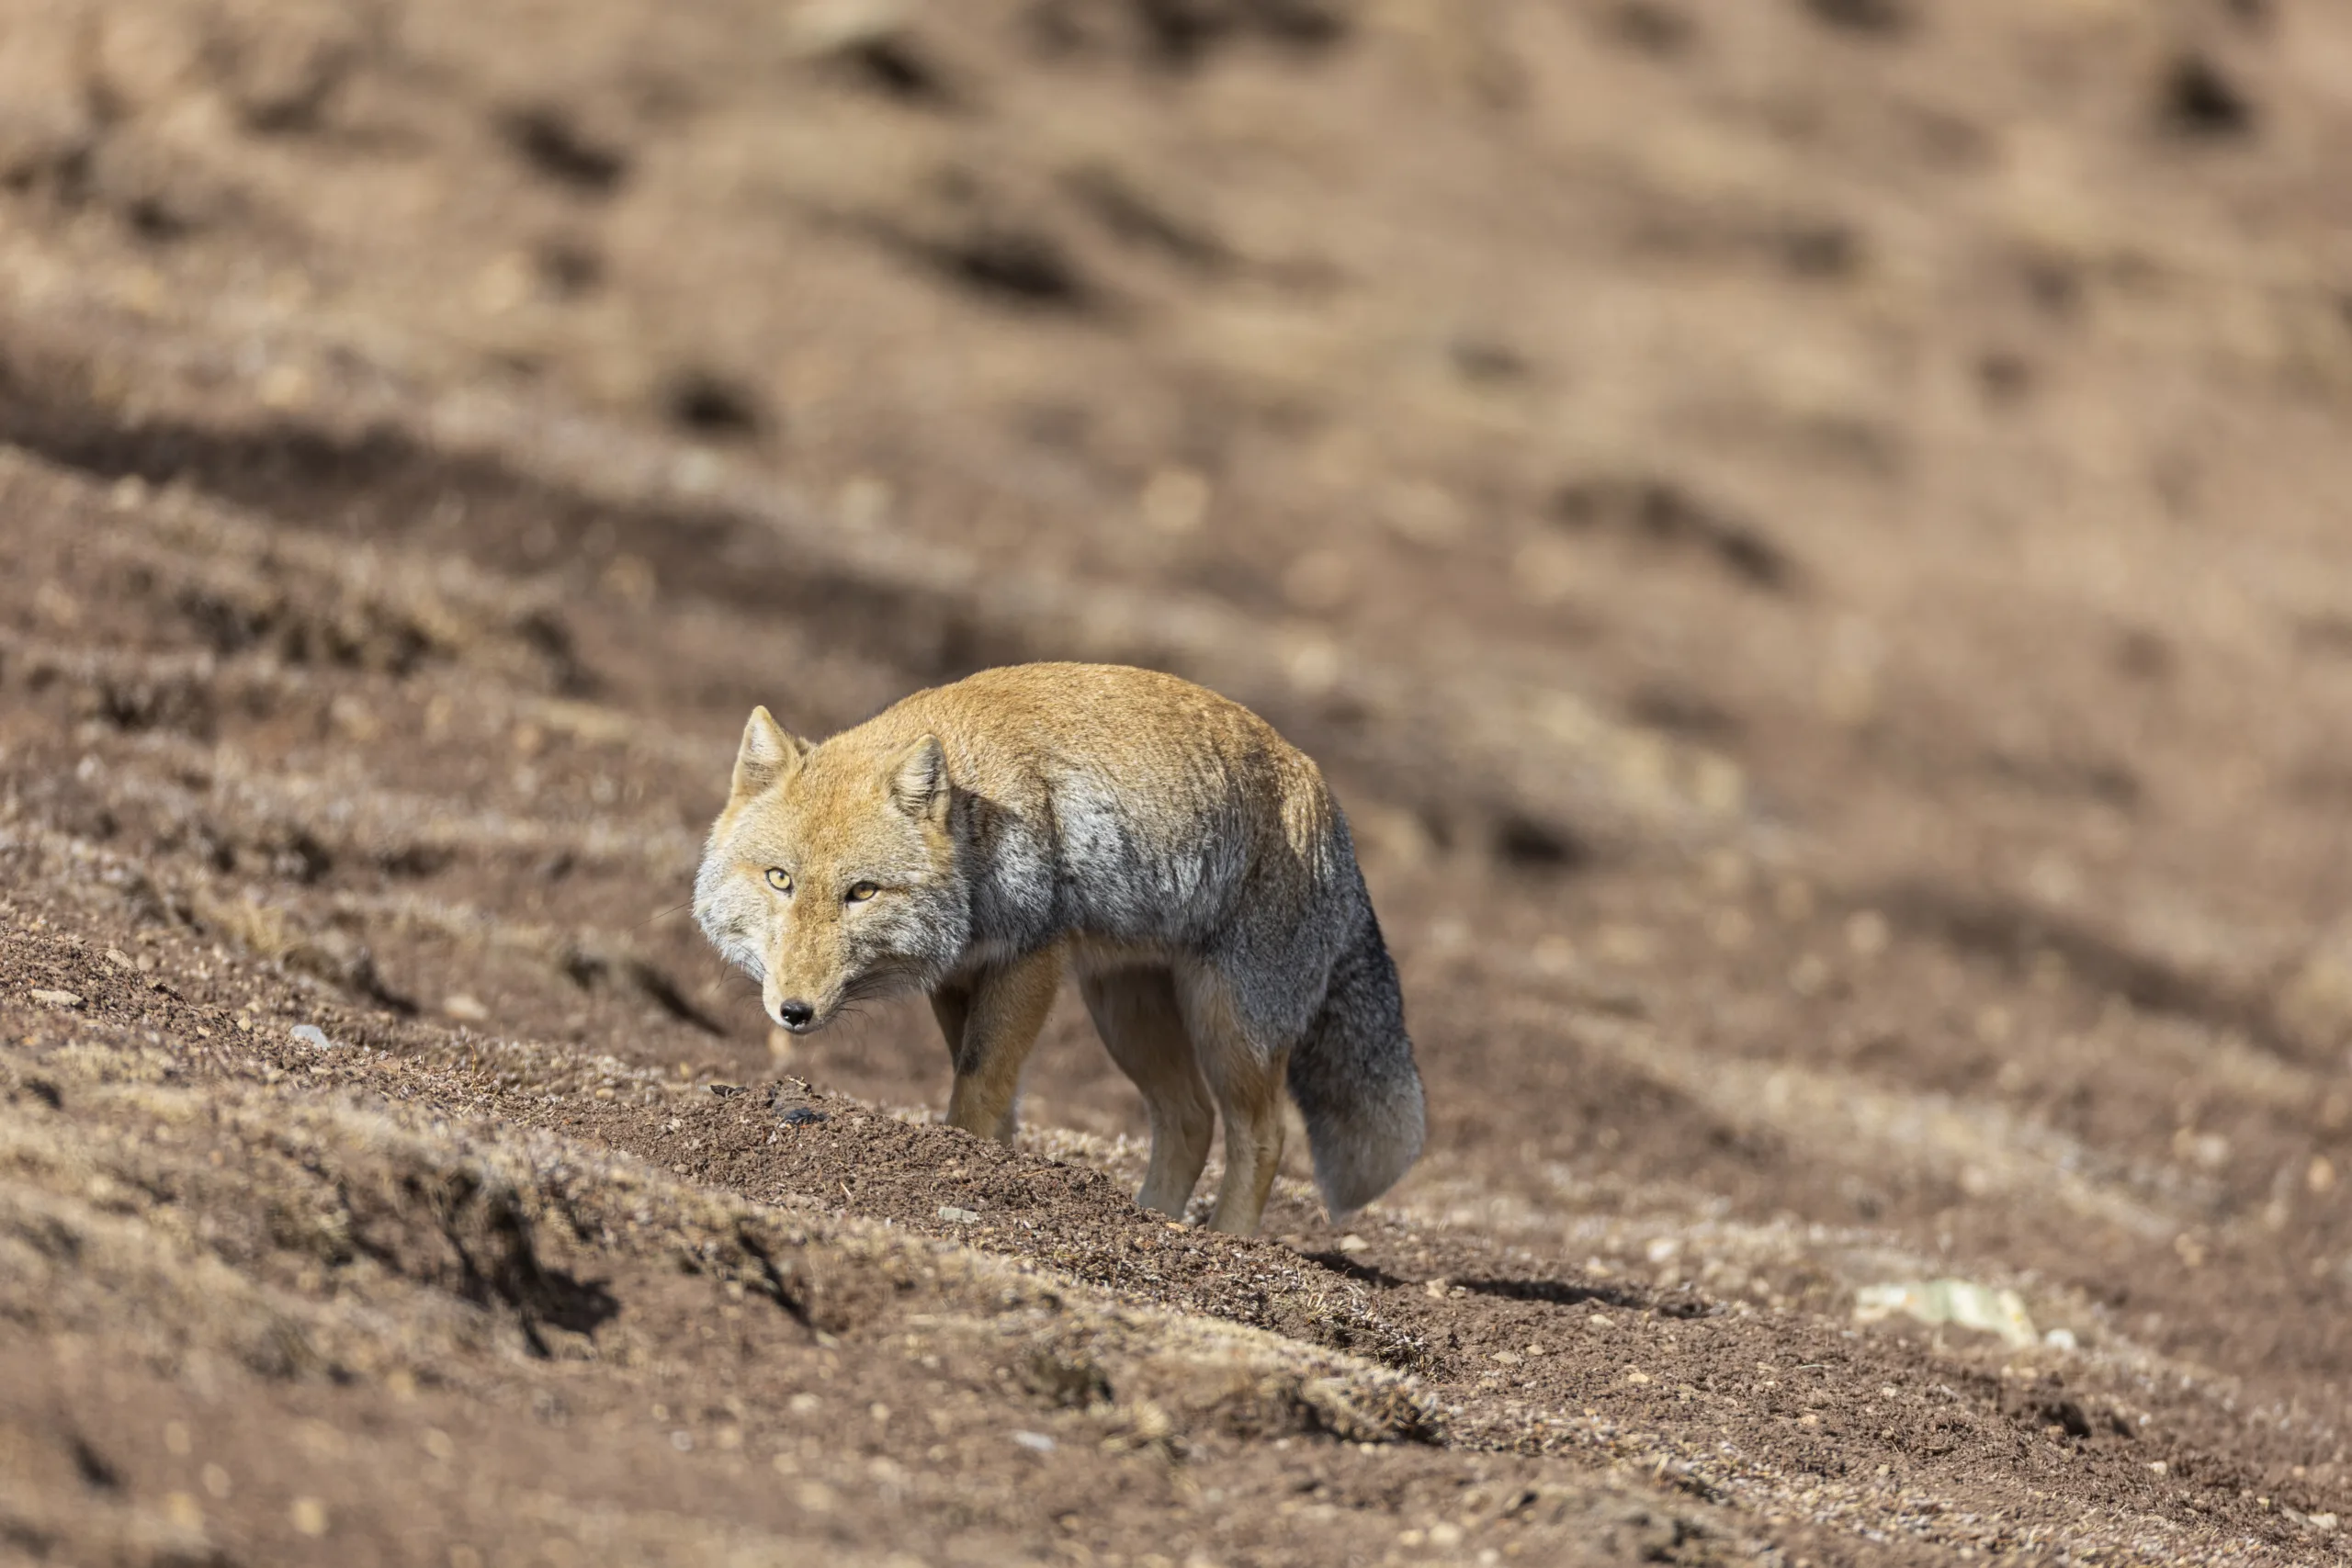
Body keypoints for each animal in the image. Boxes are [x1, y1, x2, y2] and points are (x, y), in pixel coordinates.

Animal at [693, 662, 1425, 1236]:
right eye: (780, 879)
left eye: (862, 892)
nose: (794, 1011)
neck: (977, 832)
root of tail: (1326, 795)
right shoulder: (958, 979)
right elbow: (991, 1098)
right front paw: (987, 1172)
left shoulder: (1029, 960)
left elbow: (978, 1089)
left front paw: (961, 1171)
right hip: (1125, 1014)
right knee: (1190, 1122)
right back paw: (1151, 1223)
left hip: (1227, 1028)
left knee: (1263, 1137)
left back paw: (1226, 1242)